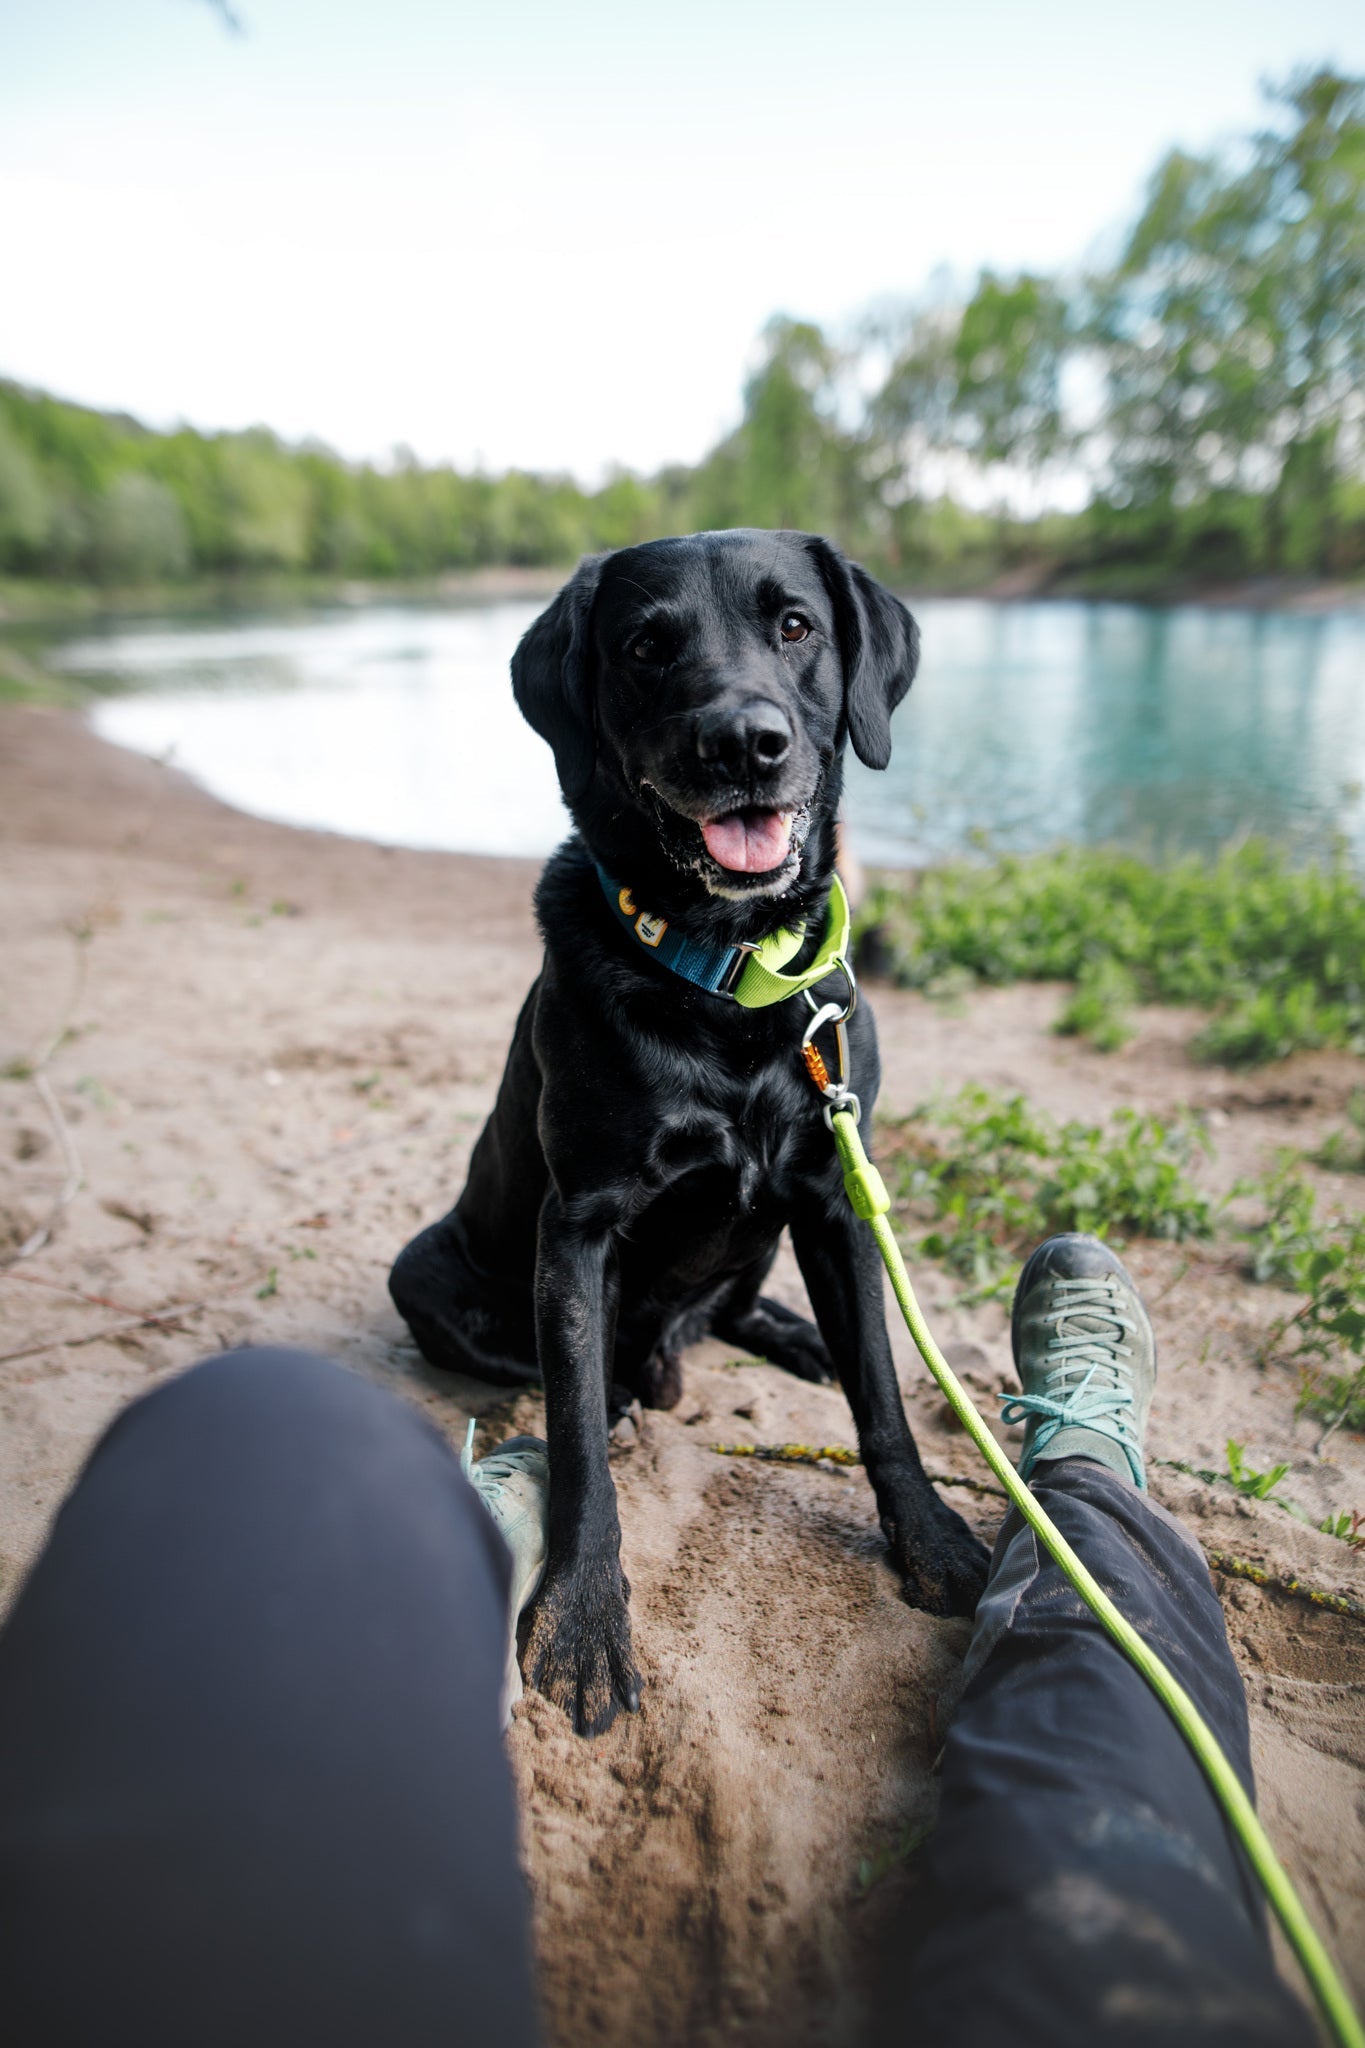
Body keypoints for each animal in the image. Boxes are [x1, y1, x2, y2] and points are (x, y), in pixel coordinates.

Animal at [388, 524, 986, 1728]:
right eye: (644, 647)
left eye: (795, 625)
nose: (743, 743)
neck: (731, 978)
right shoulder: (576, 1229)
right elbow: (574, 1440)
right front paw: (582, 1619)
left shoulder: (836, 1195)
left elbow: (885, 1398)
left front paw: (932, 1541)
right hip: (422, 1267)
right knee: (596, 1368)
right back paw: (636, 1385)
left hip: (765, 1235)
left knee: (735, 1309)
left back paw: (788, 1338)